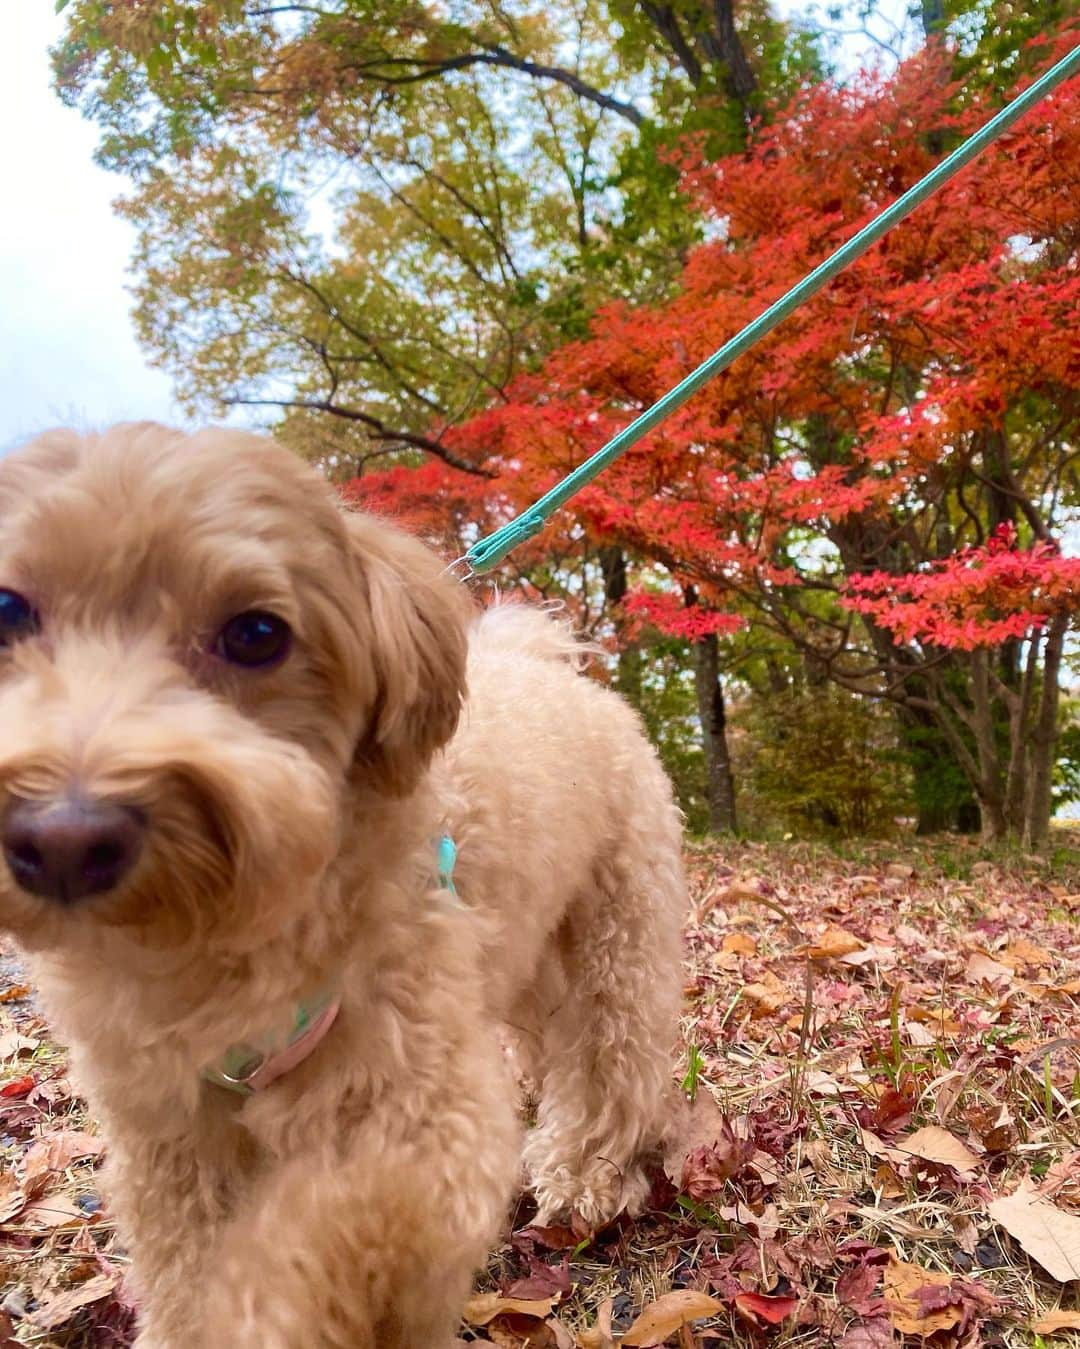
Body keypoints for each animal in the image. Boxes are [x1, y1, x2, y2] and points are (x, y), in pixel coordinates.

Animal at [0, 426, 687, 1349]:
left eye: (257, 633)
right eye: (10, 612)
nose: (65, 836)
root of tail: (556, 670)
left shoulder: (424, 1122)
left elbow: (296, 1246)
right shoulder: (171, 1134)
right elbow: (187, 1265)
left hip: (619, 930)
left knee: (612, 1055)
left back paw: (584, 1172)